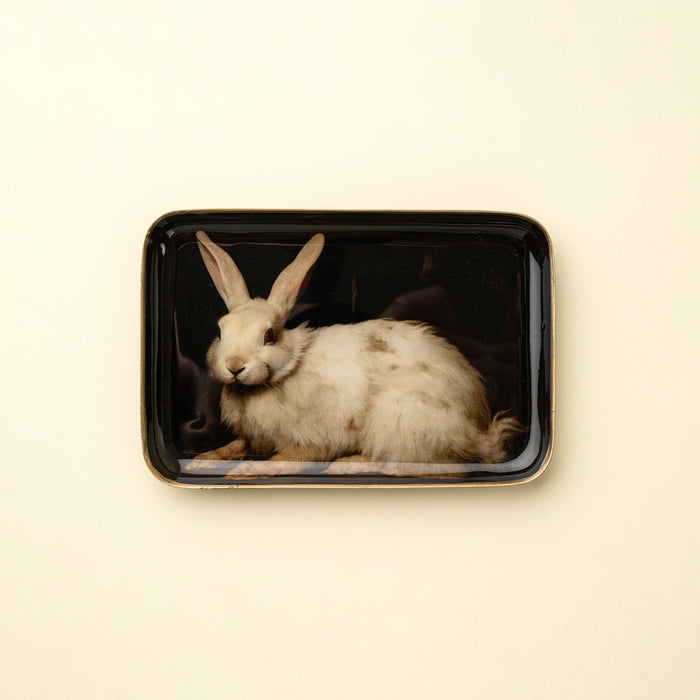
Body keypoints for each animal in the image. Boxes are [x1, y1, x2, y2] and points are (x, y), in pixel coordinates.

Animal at [190, 231, 521, 477]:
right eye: (220, 330)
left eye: (269, 335)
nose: (234, 366)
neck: (286, 370)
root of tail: (478, 433)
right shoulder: (251, 437)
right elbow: (236, 445)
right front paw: (204, 458)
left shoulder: (313, 440)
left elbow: (289, 459)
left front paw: (244, 471)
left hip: (399, 419)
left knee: (432, 467)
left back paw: (346, 466)